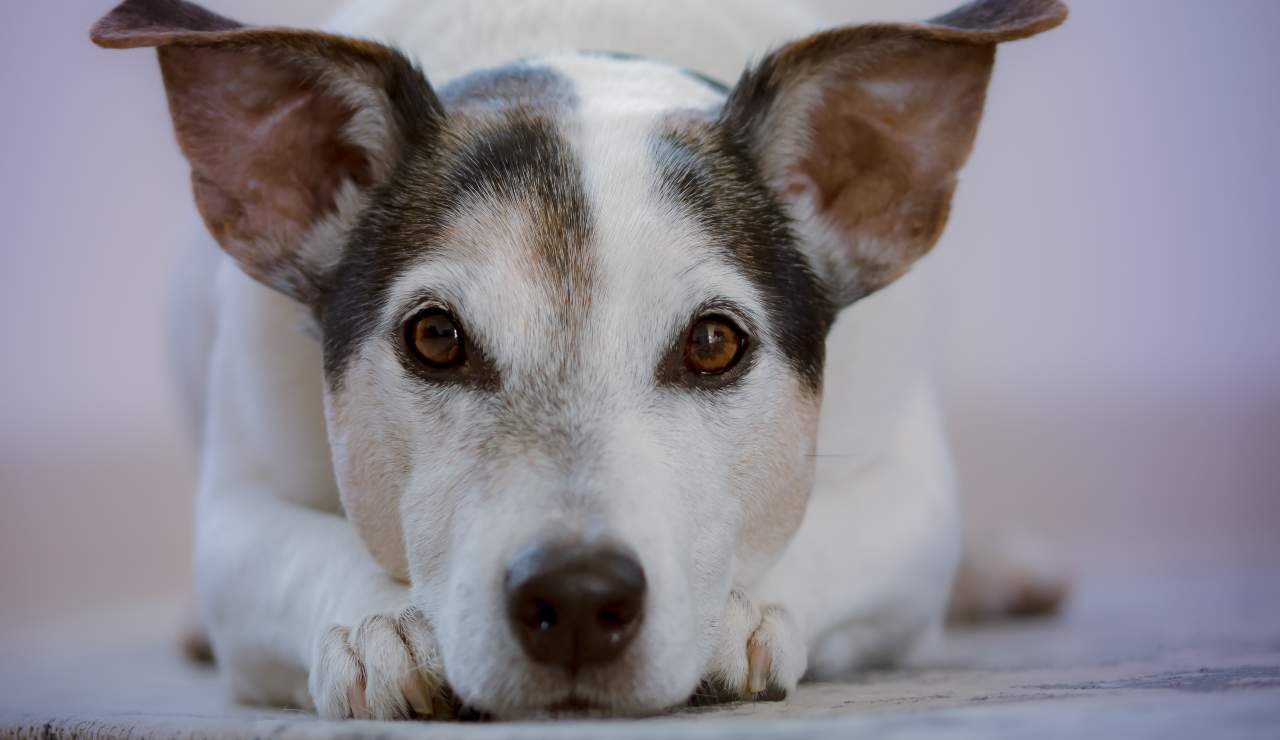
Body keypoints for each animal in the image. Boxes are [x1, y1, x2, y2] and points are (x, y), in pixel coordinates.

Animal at [92, 0, 1070, 716]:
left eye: (713, 343)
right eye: (434, 337)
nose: (574, 598)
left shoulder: (911, 495)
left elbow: (833, 534)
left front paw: (739, 615)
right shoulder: (236, 508)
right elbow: (290, 549)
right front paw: (383, 624)